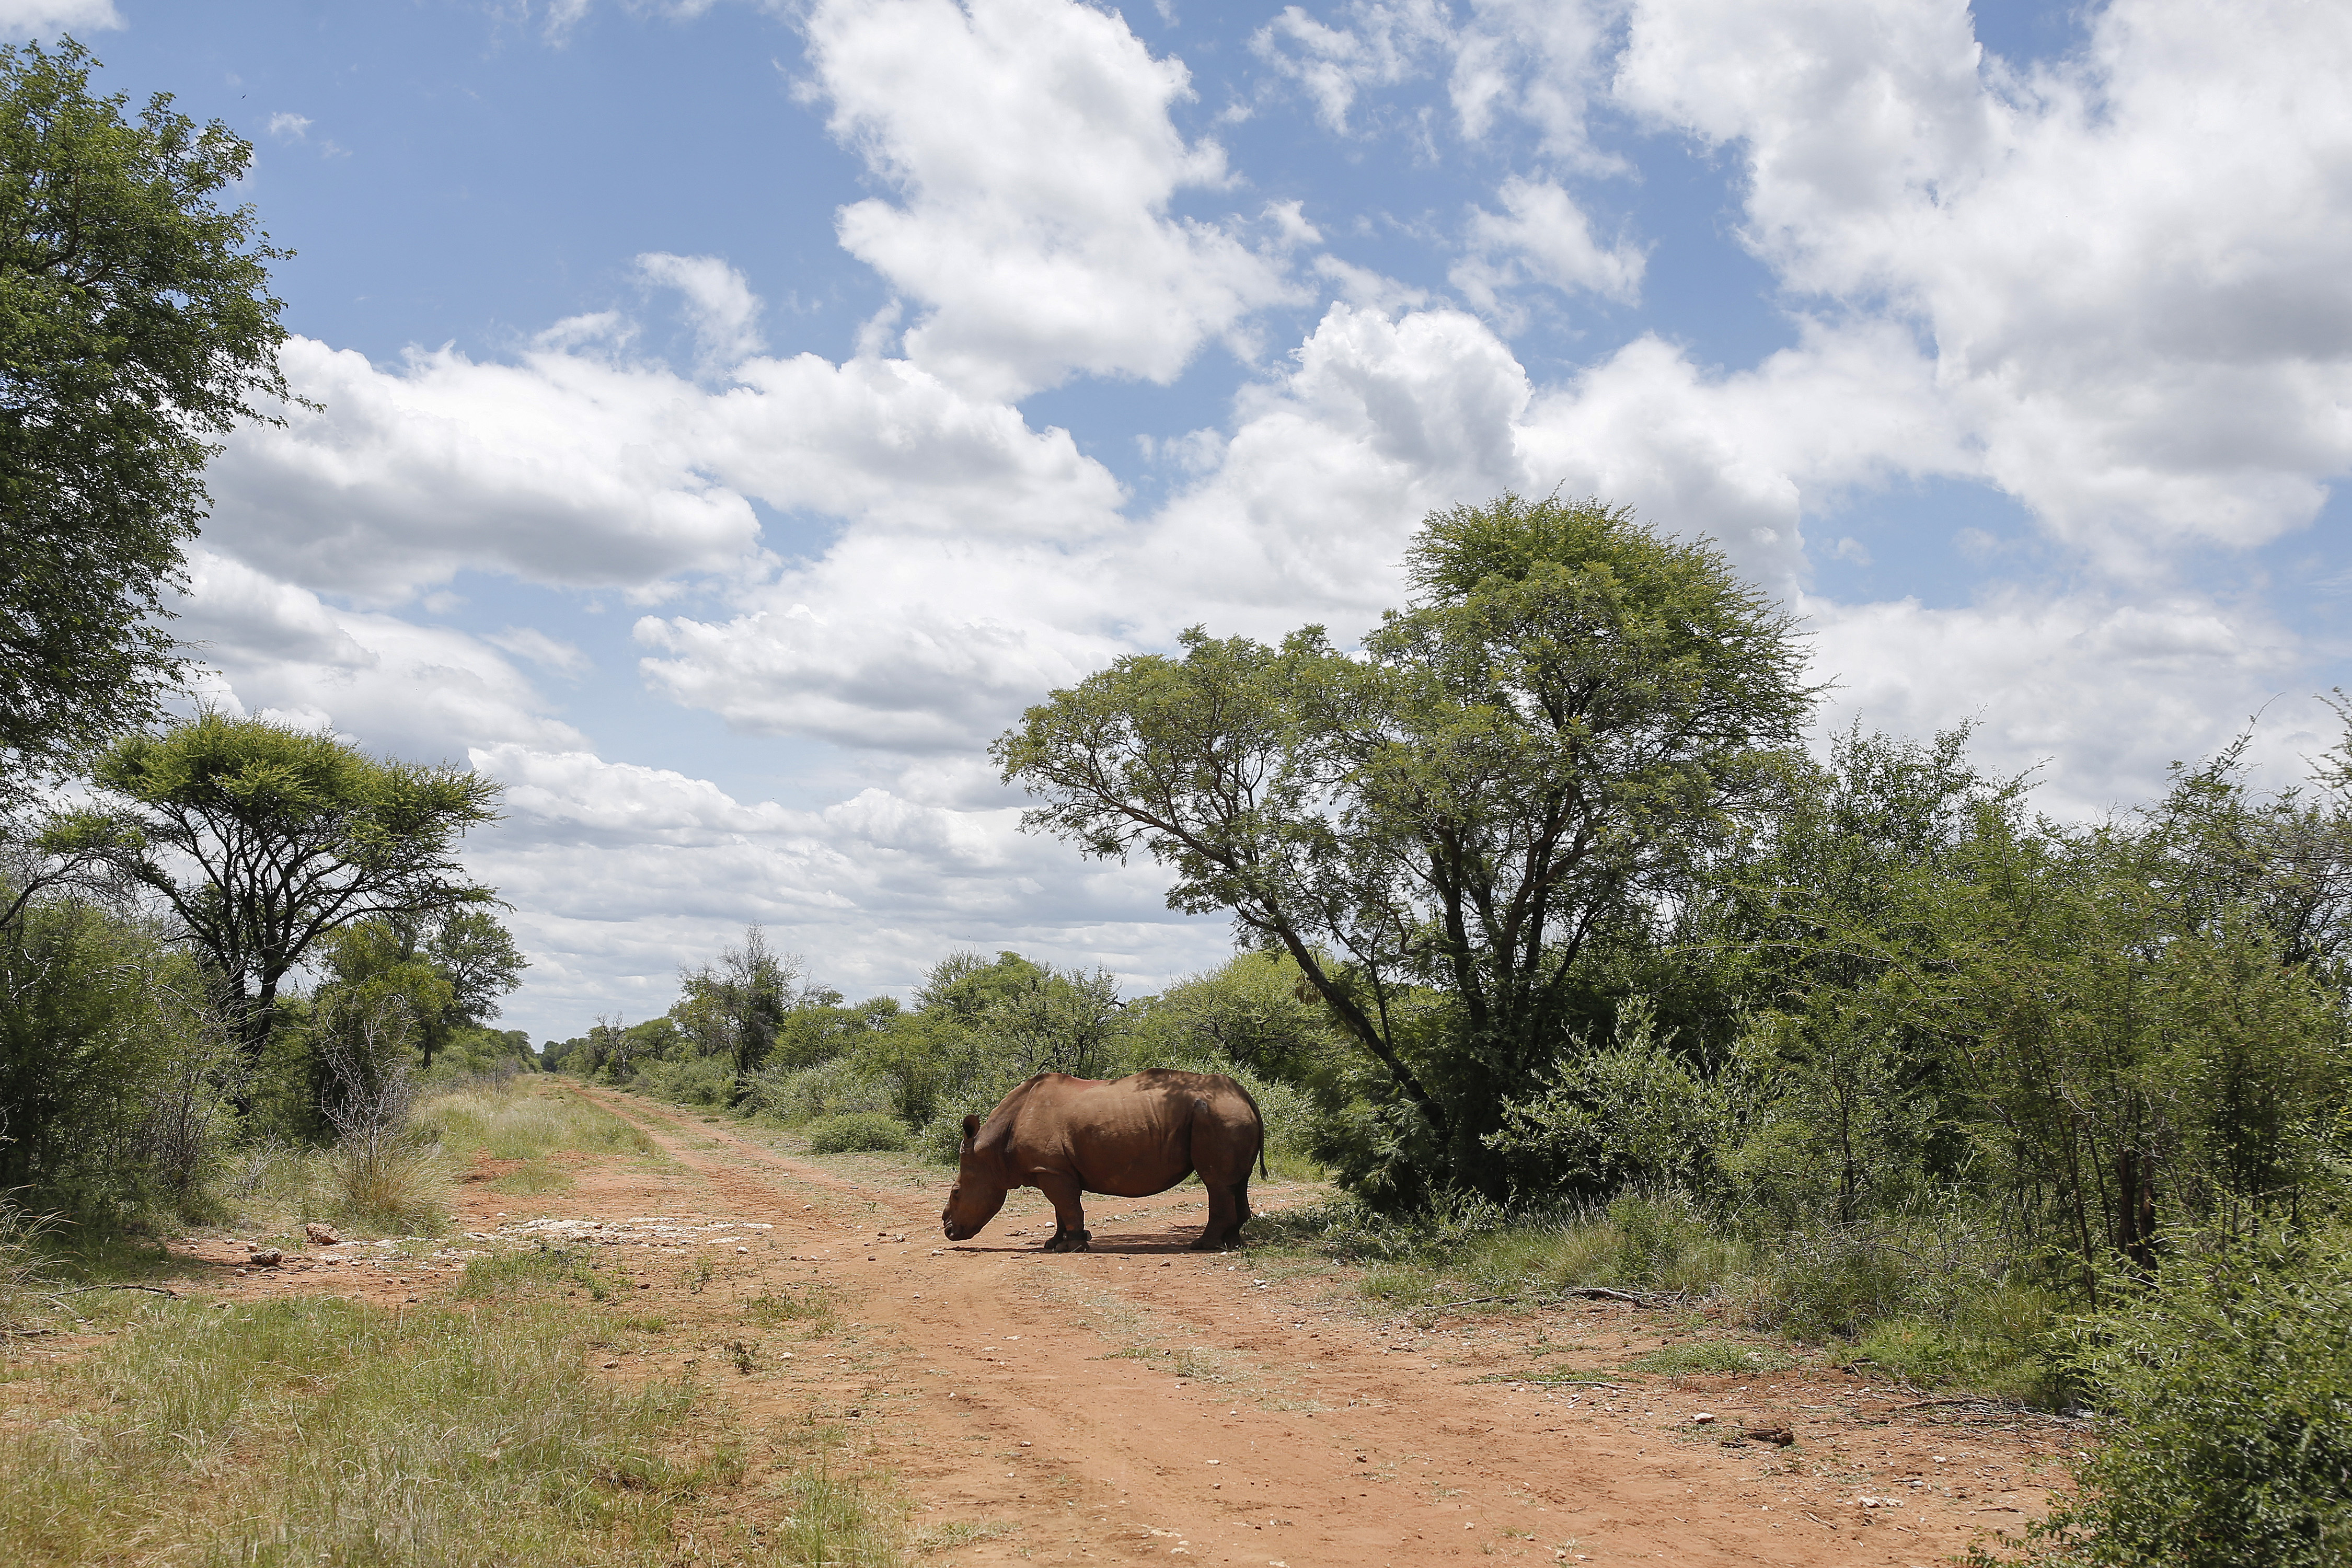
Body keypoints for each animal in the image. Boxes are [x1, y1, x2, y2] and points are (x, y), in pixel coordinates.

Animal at [941, 1069, 1267, 1252]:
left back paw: (1203, 1246)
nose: (947, 1230)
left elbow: (1068, 1207)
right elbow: (1061, 1209)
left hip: (1217, 1115)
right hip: (1225, 1114)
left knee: (1216, 1183)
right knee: (1237, 1182)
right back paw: (1232, 1243)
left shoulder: (1051, 1169)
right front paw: (1055, 1244)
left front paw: (1073, 1246)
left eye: (956, 1193)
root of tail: (1244, 1095)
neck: (992, 1151)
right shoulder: (1055, 1169)